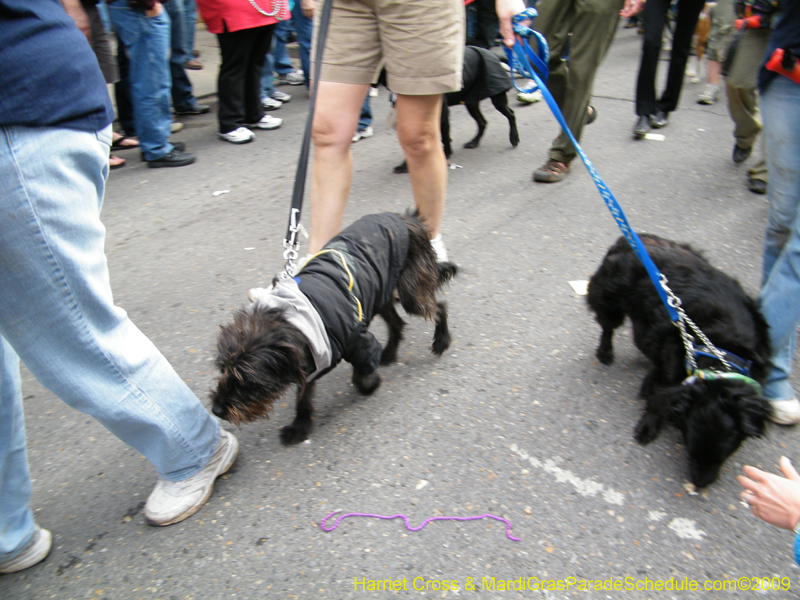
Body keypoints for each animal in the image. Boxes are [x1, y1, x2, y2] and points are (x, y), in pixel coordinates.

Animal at [211, 213, 456, 442]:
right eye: (222, 370)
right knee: (397, 323)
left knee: (439, 308)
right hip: (381, 292)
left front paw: (370, 384)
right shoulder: (309, 361)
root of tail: (407, 219)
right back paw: (389, 353)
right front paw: (300, 426)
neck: (293, 321)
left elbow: (362, 373)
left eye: (247, 380)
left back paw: (441, 340)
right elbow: (303, 397)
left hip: (409, 292)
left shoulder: (359, 342)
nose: (217, 410)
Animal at [588, 234, 776, 488]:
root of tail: (629, 239)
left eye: (725, 455)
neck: (720, 353)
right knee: (607, 326)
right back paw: (605, 352)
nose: (700, 484)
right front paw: (648, 426)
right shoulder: (673, 366)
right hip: (610, 299)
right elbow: (659, 399)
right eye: (690, 449)